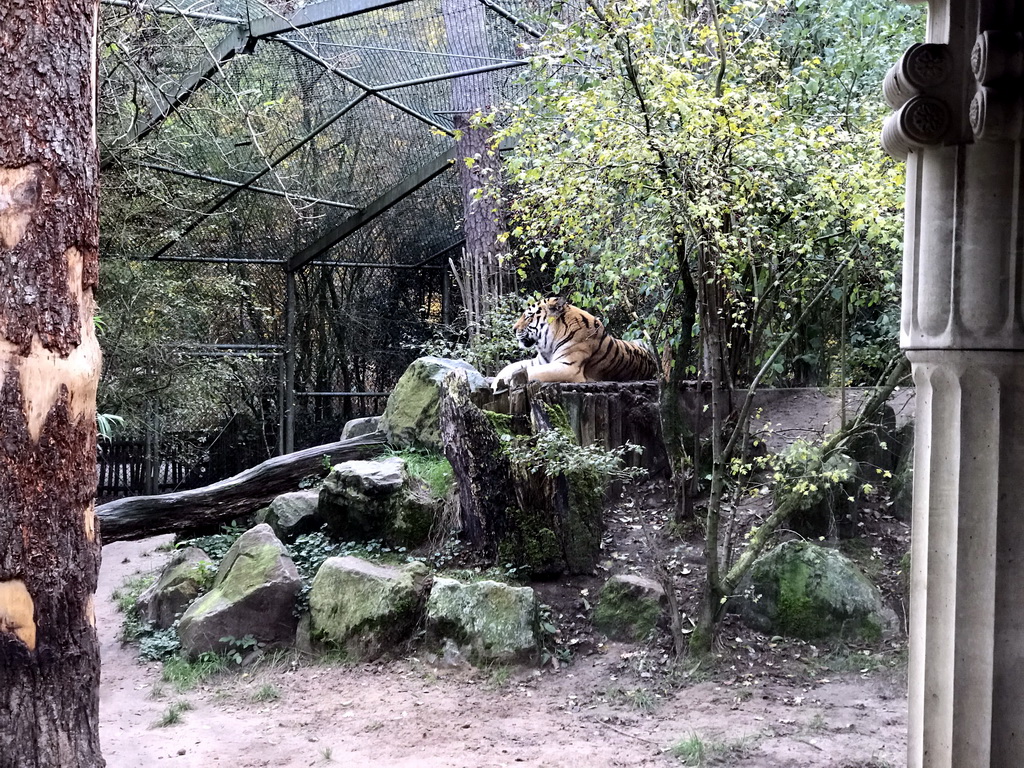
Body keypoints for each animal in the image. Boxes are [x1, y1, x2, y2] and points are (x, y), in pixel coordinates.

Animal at [493, 294, 659, 391]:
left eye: (528, 316)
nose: (513, 329)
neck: (548, 345)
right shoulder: (538, 361)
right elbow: (510, 367)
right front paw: (496, 382)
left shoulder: (568, 367)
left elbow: (535, 372)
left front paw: (507, 381)